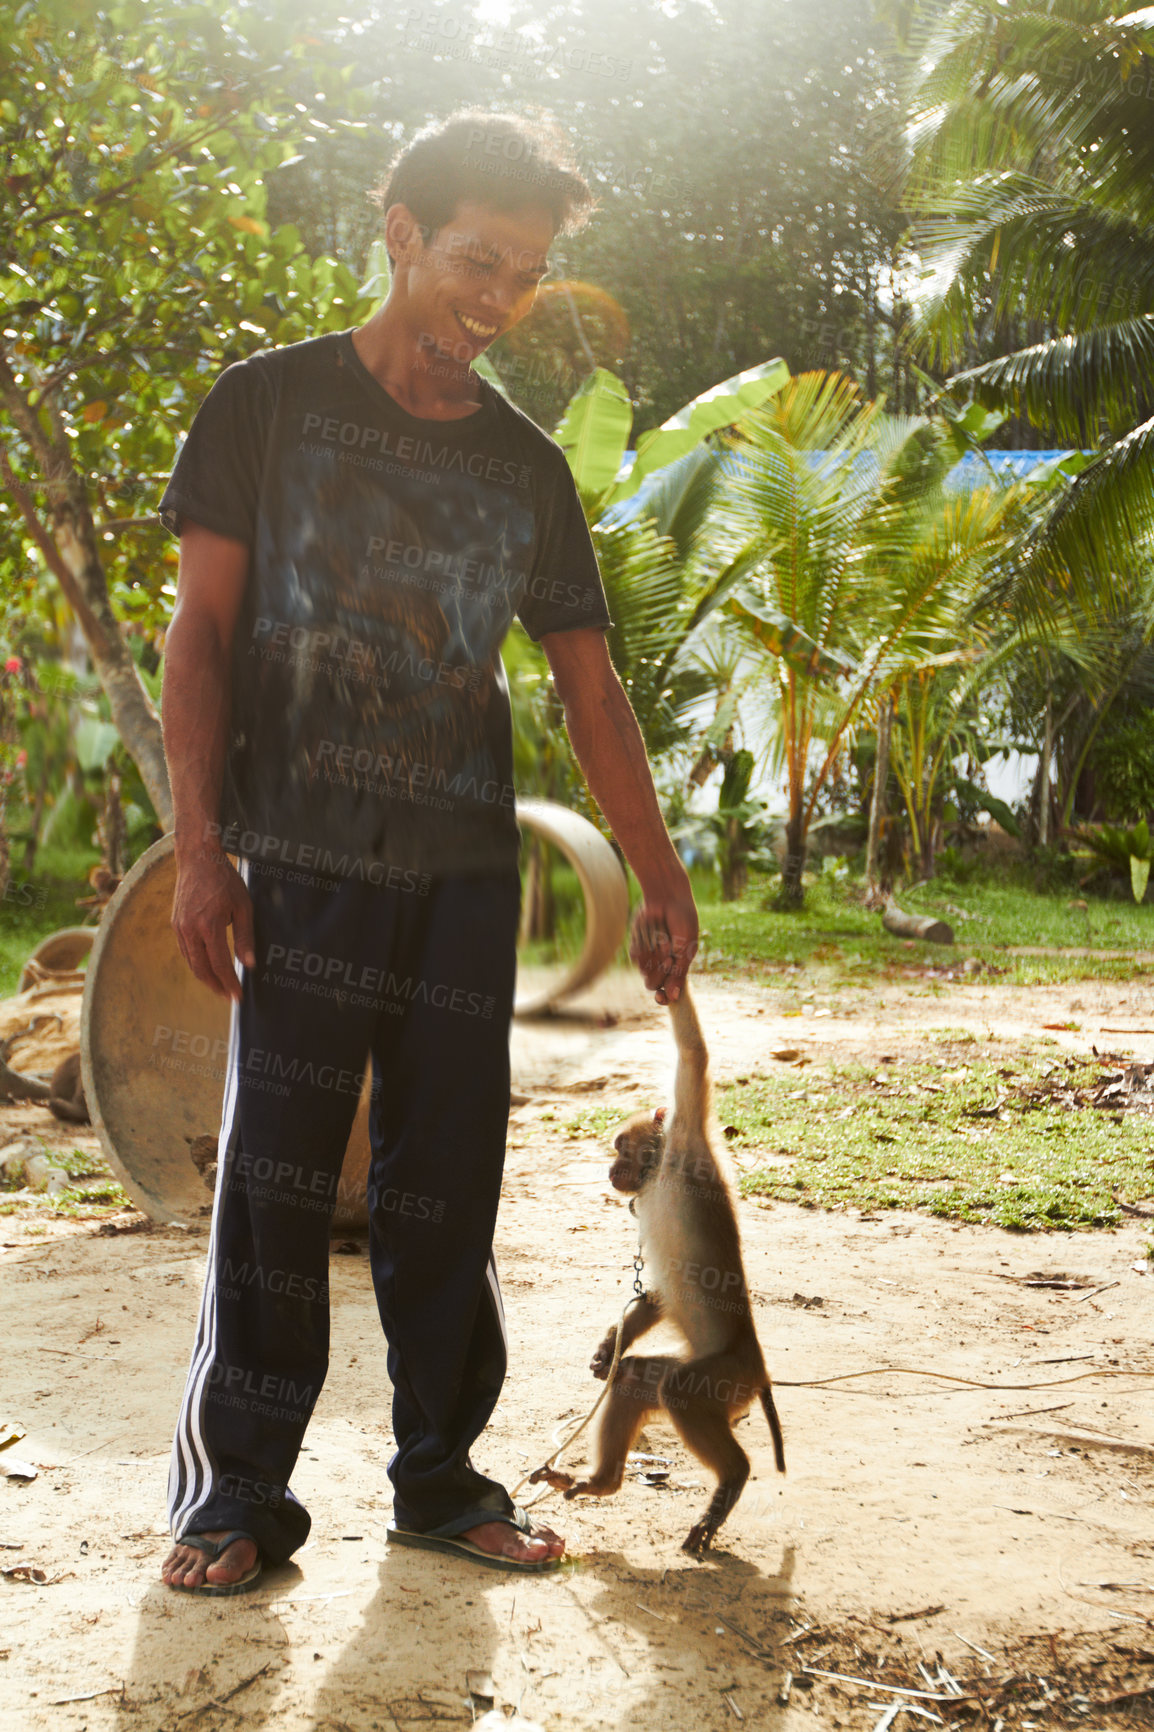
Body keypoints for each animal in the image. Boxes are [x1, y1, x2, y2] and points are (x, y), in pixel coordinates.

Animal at [530, 983, 783, 1565]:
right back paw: (603, 1480)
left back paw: (733, 1478)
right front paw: (608, 1347)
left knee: (682, 1391)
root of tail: (757, 1368)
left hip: (726, 1378)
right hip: (724, 1388)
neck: (661, 1168)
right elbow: (660, 1297)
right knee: (638, 1379)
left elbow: (693, 1054)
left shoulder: (689, 1134)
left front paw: (672, 979)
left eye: (621, 1148)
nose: (609, 1170)